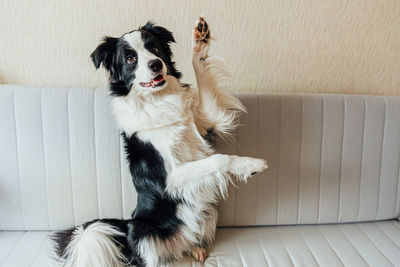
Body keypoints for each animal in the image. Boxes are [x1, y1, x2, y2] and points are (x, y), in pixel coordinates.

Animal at [51, 17, 268, 267]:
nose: (156, 64)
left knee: (189, 239)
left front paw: (200, 41)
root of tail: (126, 225)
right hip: (142, 231)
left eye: (154, 48)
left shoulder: (207, 122)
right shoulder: (171, 177)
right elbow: (218, 159)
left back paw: (195, 248)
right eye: (130, 58)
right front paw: (251, 165)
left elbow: (200, 72)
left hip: (209, 212)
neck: (157, 100)